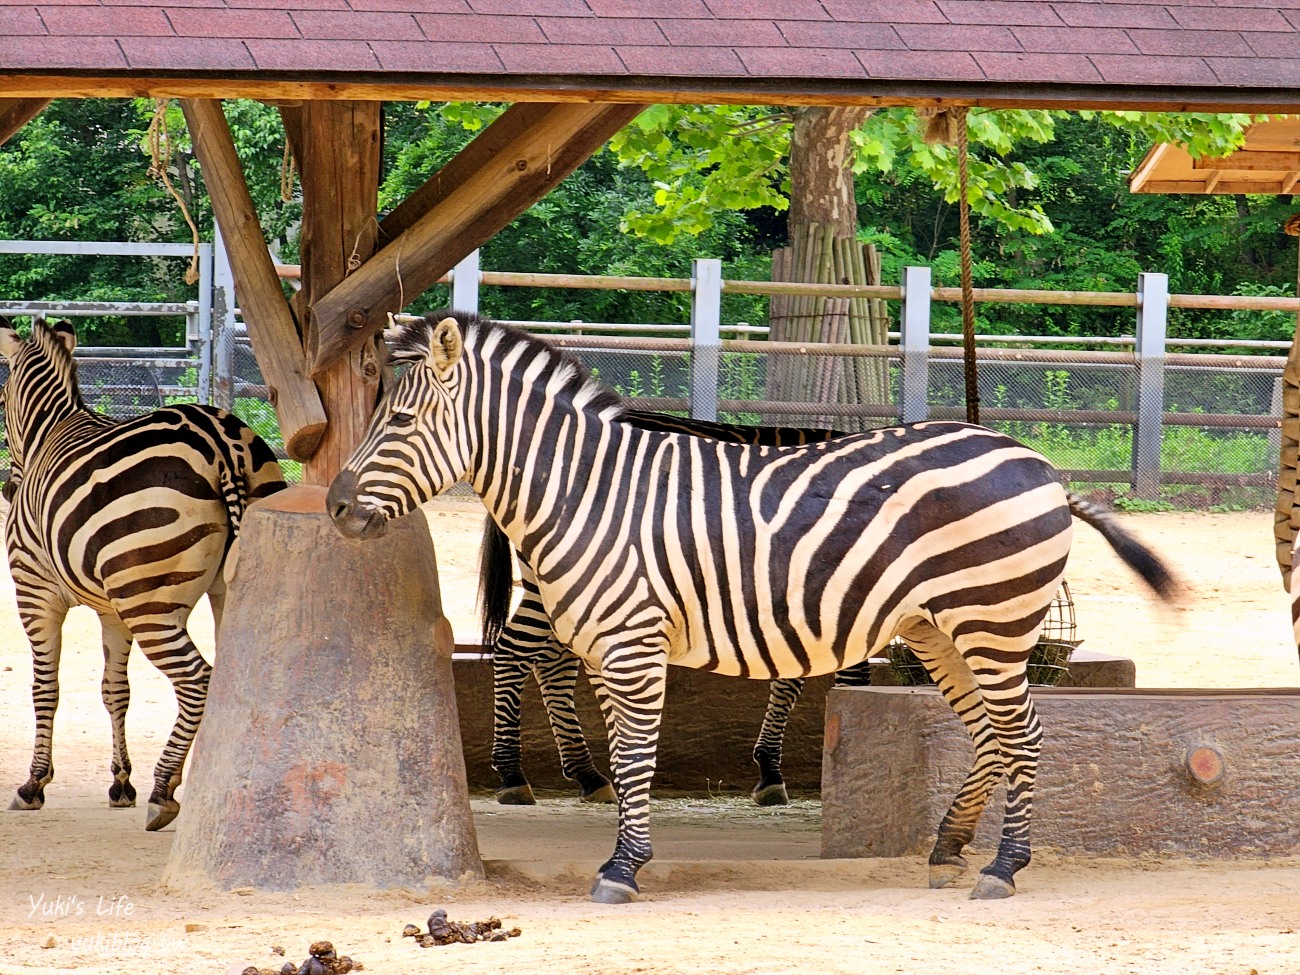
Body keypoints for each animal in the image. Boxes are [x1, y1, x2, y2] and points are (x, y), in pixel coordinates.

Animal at [0, 318, 286, 832]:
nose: (8, 489)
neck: (52, 431)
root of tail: (222, 443)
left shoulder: (34, 593)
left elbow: (44, 689)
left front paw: (33, 785)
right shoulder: (110, 610)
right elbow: (116, 691)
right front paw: (120, 784)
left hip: (148, 601)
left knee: (197, 680)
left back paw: (164, 790)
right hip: (235, 583)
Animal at [327, 314, 1180, 909]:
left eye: (399, 423)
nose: (333, 506)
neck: (585, 488)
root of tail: (1037, 463)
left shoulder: (632, 638)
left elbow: (639, 753)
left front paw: (623, 867)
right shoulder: (607, 643)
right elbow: (627, 753)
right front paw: (619, 838)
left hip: (992, 621)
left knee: (1022, 733)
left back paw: (1004, 865)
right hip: (940, 628)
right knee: (988, 732)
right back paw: (949, 843)